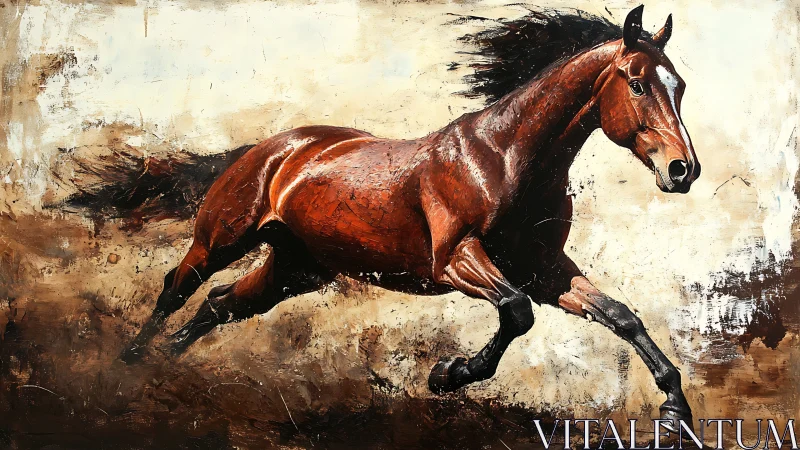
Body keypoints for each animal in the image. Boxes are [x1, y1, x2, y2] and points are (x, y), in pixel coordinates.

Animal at [116, 5, 700, 426]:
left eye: (680, 86)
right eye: (637, 82)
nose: (683, 170)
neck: (504, 157)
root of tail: (271, 148)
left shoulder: (543, 268)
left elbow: (620, 315)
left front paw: (675, 409)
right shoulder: (457, 259)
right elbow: (516, 312)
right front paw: (448, 373)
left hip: (297, 268)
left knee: (220, 303)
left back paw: (164, 362)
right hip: (222, 239)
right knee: (176, 287)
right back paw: (124, 368)